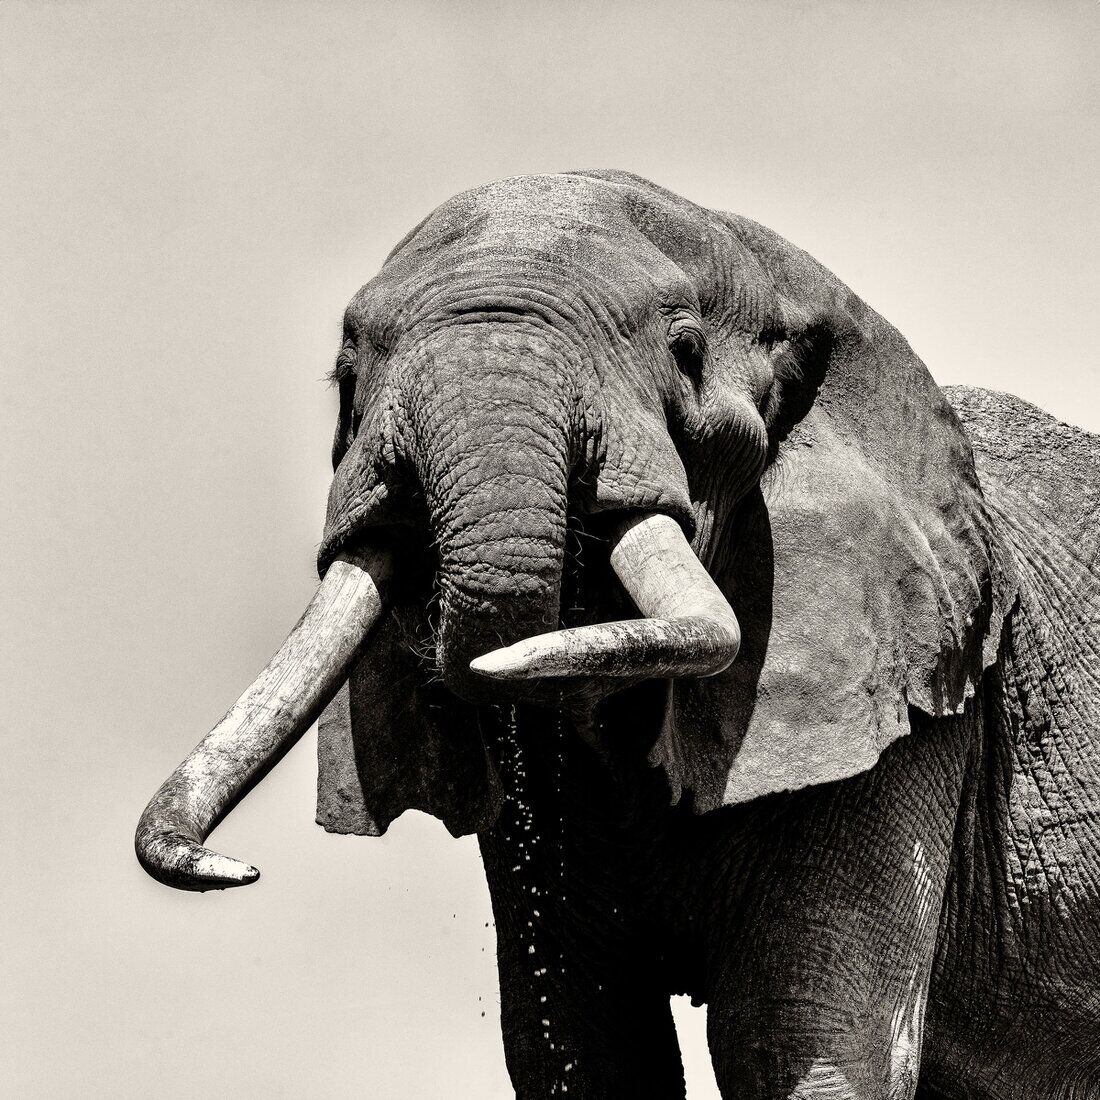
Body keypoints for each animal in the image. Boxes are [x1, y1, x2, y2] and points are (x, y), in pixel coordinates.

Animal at [135, 170, 1100, 1099]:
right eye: (344, 381)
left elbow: (797, 1038)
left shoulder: (911, 704)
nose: (236, 869)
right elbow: (586, 1042)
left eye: (686, 352)